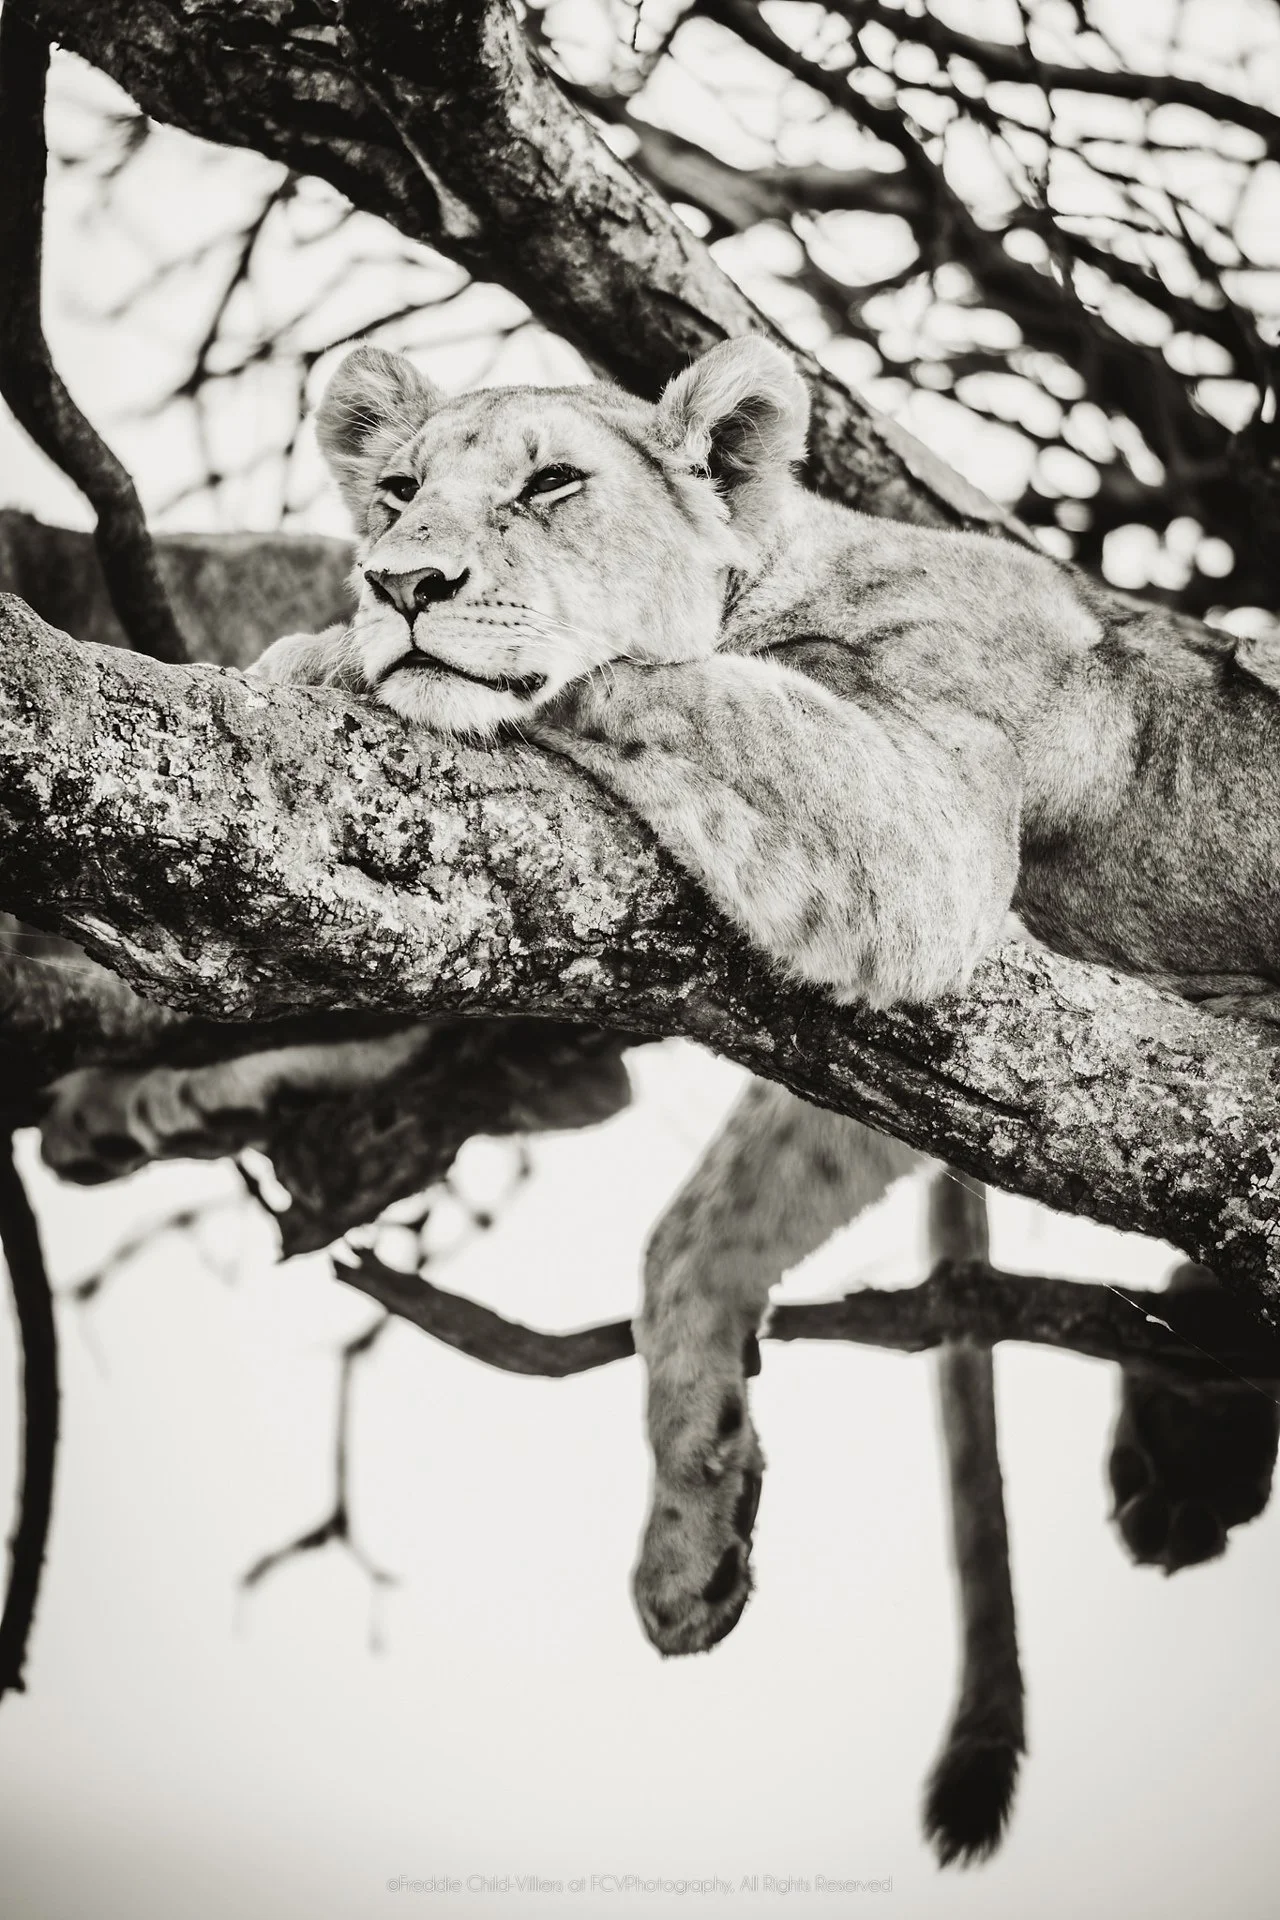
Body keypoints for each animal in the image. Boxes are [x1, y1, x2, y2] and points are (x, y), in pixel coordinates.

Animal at [39, 334, 1280, 1864]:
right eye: (395, 491)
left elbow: (651, 672)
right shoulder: (900, 1044)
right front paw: (691, 1545)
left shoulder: (924, 843)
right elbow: (690, 1236)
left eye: (552, 484)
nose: (399, 583)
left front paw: (323, 655)